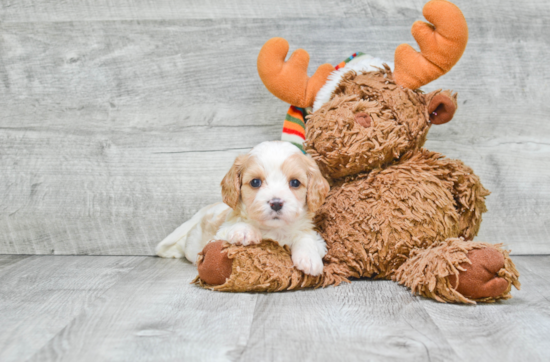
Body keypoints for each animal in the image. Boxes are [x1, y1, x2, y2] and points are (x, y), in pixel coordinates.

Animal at [157, 141, 334, 274]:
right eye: (255, 182)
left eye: (295, 182)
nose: (276, 203)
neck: (274, 230)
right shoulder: (218, 235)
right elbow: (236, 226)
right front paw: (245, 230)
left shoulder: (317, 240)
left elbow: (305, 237)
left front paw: (309, 258)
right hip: (192, 243)